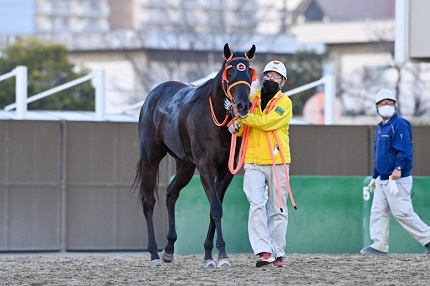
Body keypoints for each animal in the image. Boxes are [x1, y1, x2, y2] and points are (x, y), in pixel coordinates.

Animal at [132, 43, 255, 268]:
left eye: (250, 72)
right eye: (230, 72)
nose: (243, 105)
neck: (217, 121)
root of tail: (154, 93)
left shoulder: (226, 171)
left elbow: (215, 208)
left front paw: (209, 254)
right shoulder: (205, 166)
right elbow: (216, 208)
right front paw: (221, 254)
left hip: (185, 165)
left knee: (171, 193)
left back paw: (169, 249)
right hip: (151, 158)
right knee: (148, 201)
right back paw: (154, 254)